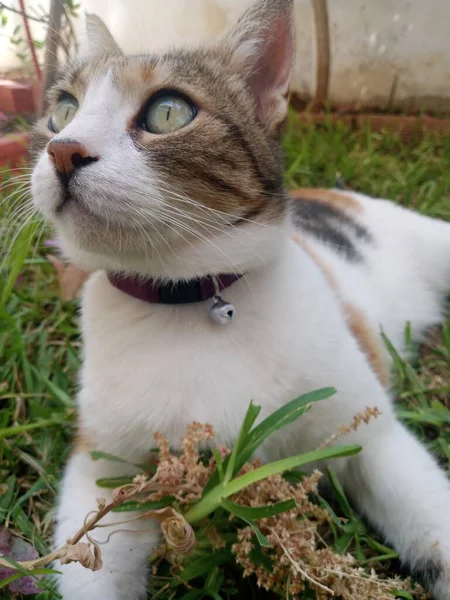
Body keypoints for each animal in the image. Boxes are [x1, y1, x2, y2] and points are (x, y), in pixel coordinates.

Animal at [30, 1, 450, 600]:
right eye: (63, 110)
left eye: (168, 112)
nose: (62, 149)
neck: (185, 301)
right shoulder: (103, 470)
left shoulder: (372, 435)